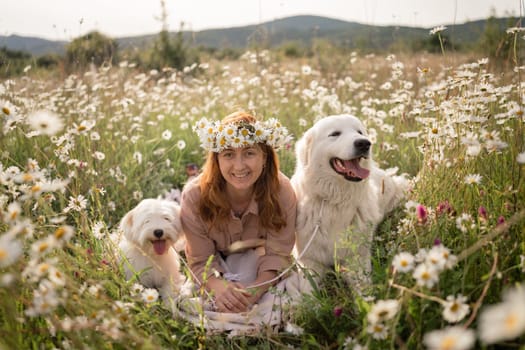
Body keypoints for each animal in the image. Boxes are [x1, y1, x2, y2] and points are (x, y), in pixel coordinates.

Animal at [292, 114, 408, 290]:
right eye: (335, 134)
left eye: (359, 132)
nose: (364, 143)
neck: (335, 200)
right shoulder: (309, 260)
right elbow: (308, 290)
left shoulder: (356, 260)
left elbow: (365, 290)